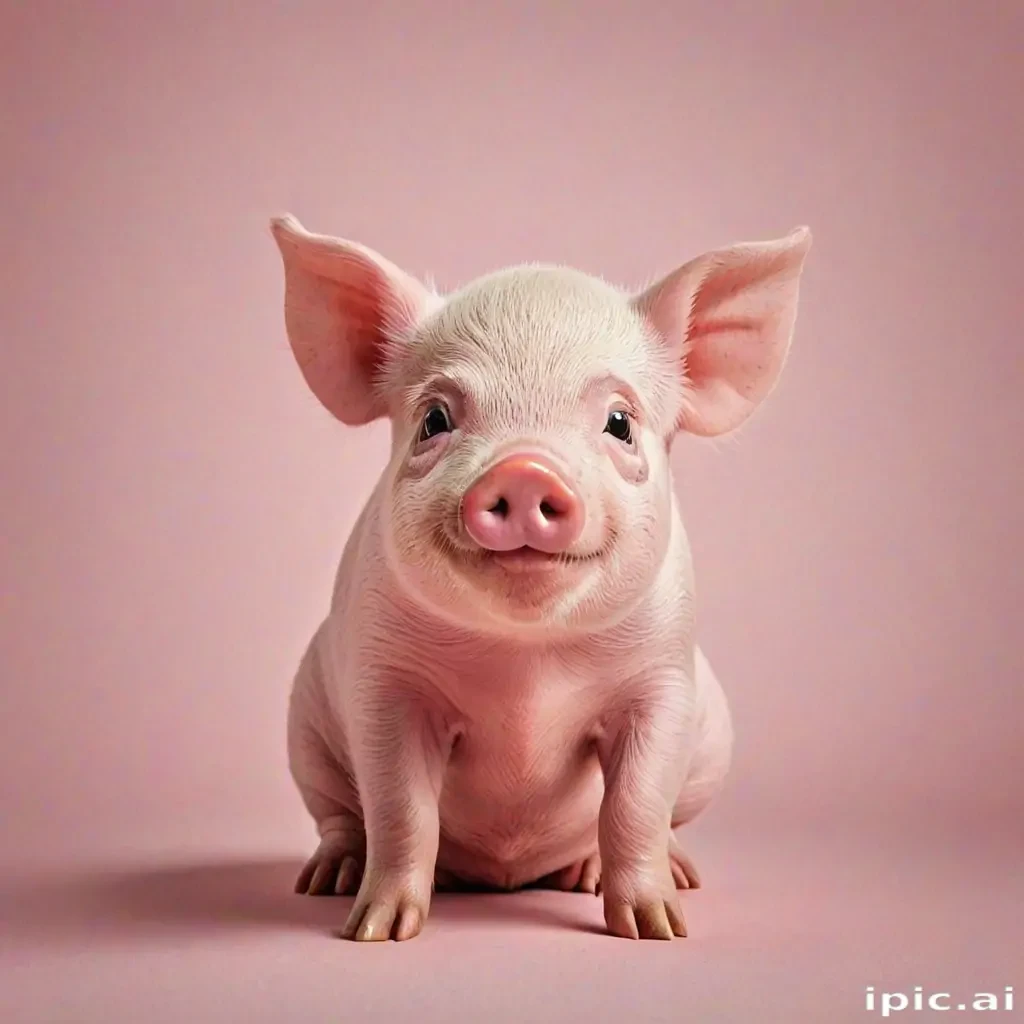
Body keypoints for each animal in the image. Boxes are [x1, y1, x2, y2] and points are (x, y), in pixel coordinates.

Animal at [270, 214, 811, 942]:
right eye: (434, 419)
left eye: (620, 422)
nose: (524, 470)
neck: (528, 669)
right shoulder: (385, 682)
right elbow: (400, 810)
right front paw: (374, 931)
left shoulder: (662, 681)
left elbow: (637, 804)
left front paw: (657, 928)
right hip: (306, 730)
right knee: (339, 817)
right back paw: (326, 880)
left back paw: (639, 875)